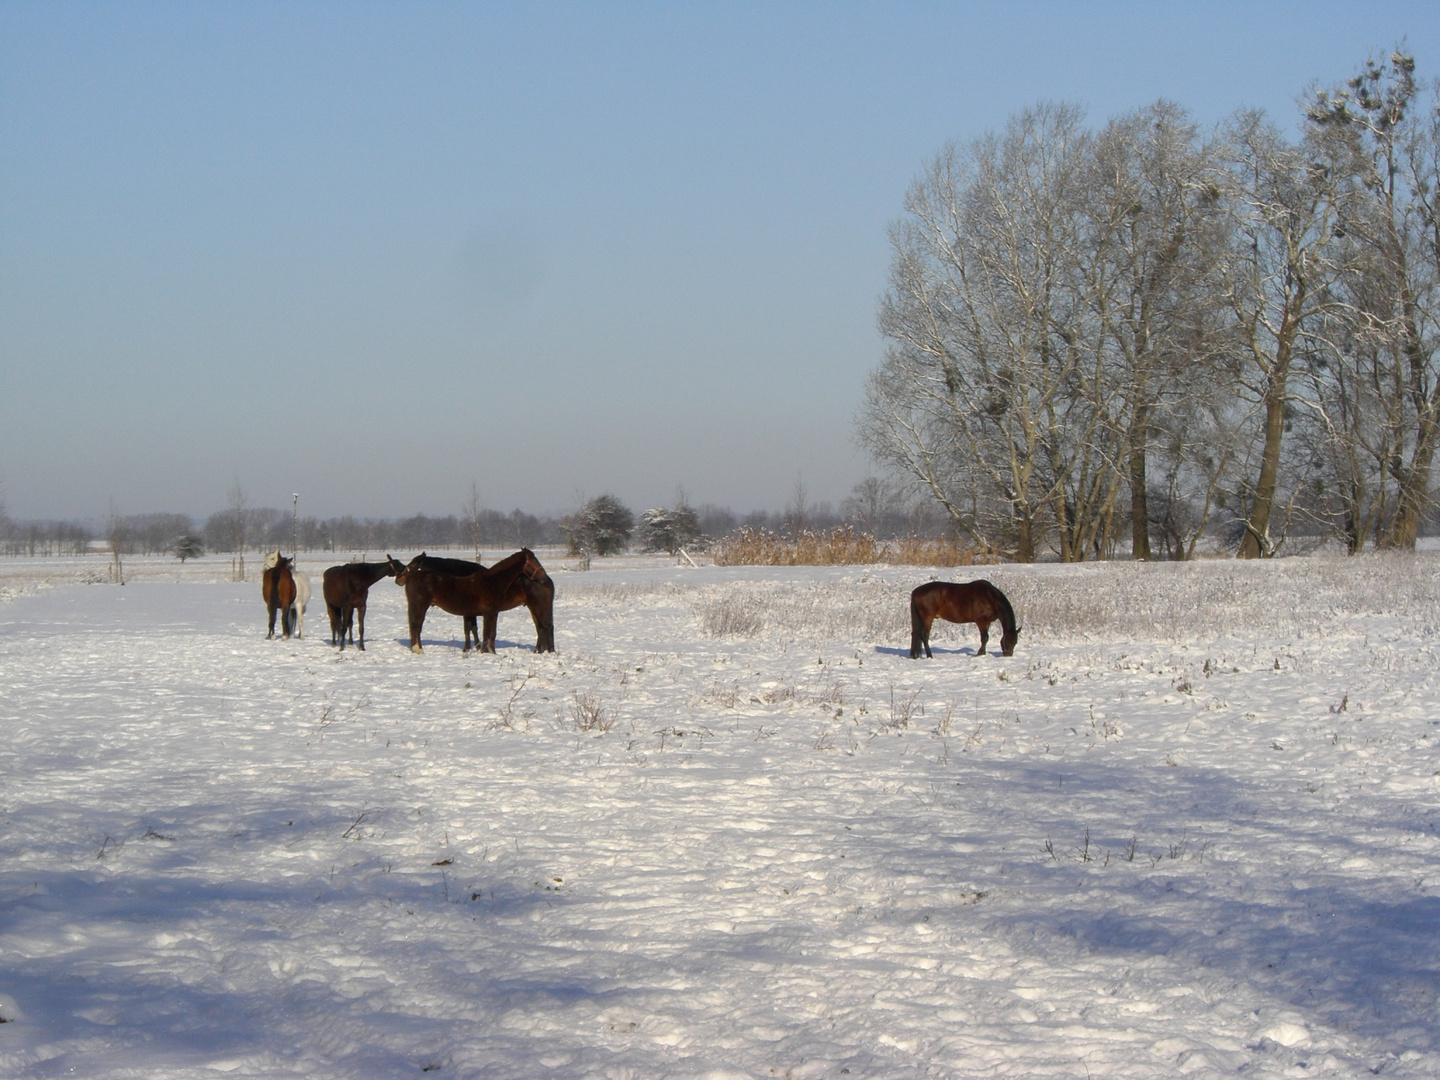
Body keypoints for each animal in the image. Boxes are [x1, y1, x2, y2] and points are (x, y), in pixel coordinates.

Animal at [400, 552, 555, 656]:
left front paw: (487, 651)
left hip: (537, 607)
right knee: (416, 626)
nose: (398, 578)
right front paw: (484, 651)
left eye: (413, 564)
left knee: (545, 626)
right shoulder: (486, 613)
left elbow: (487, 632)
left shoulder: (490, 613)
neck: (493, 581)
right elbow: (483, 632)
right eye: (533, 560)